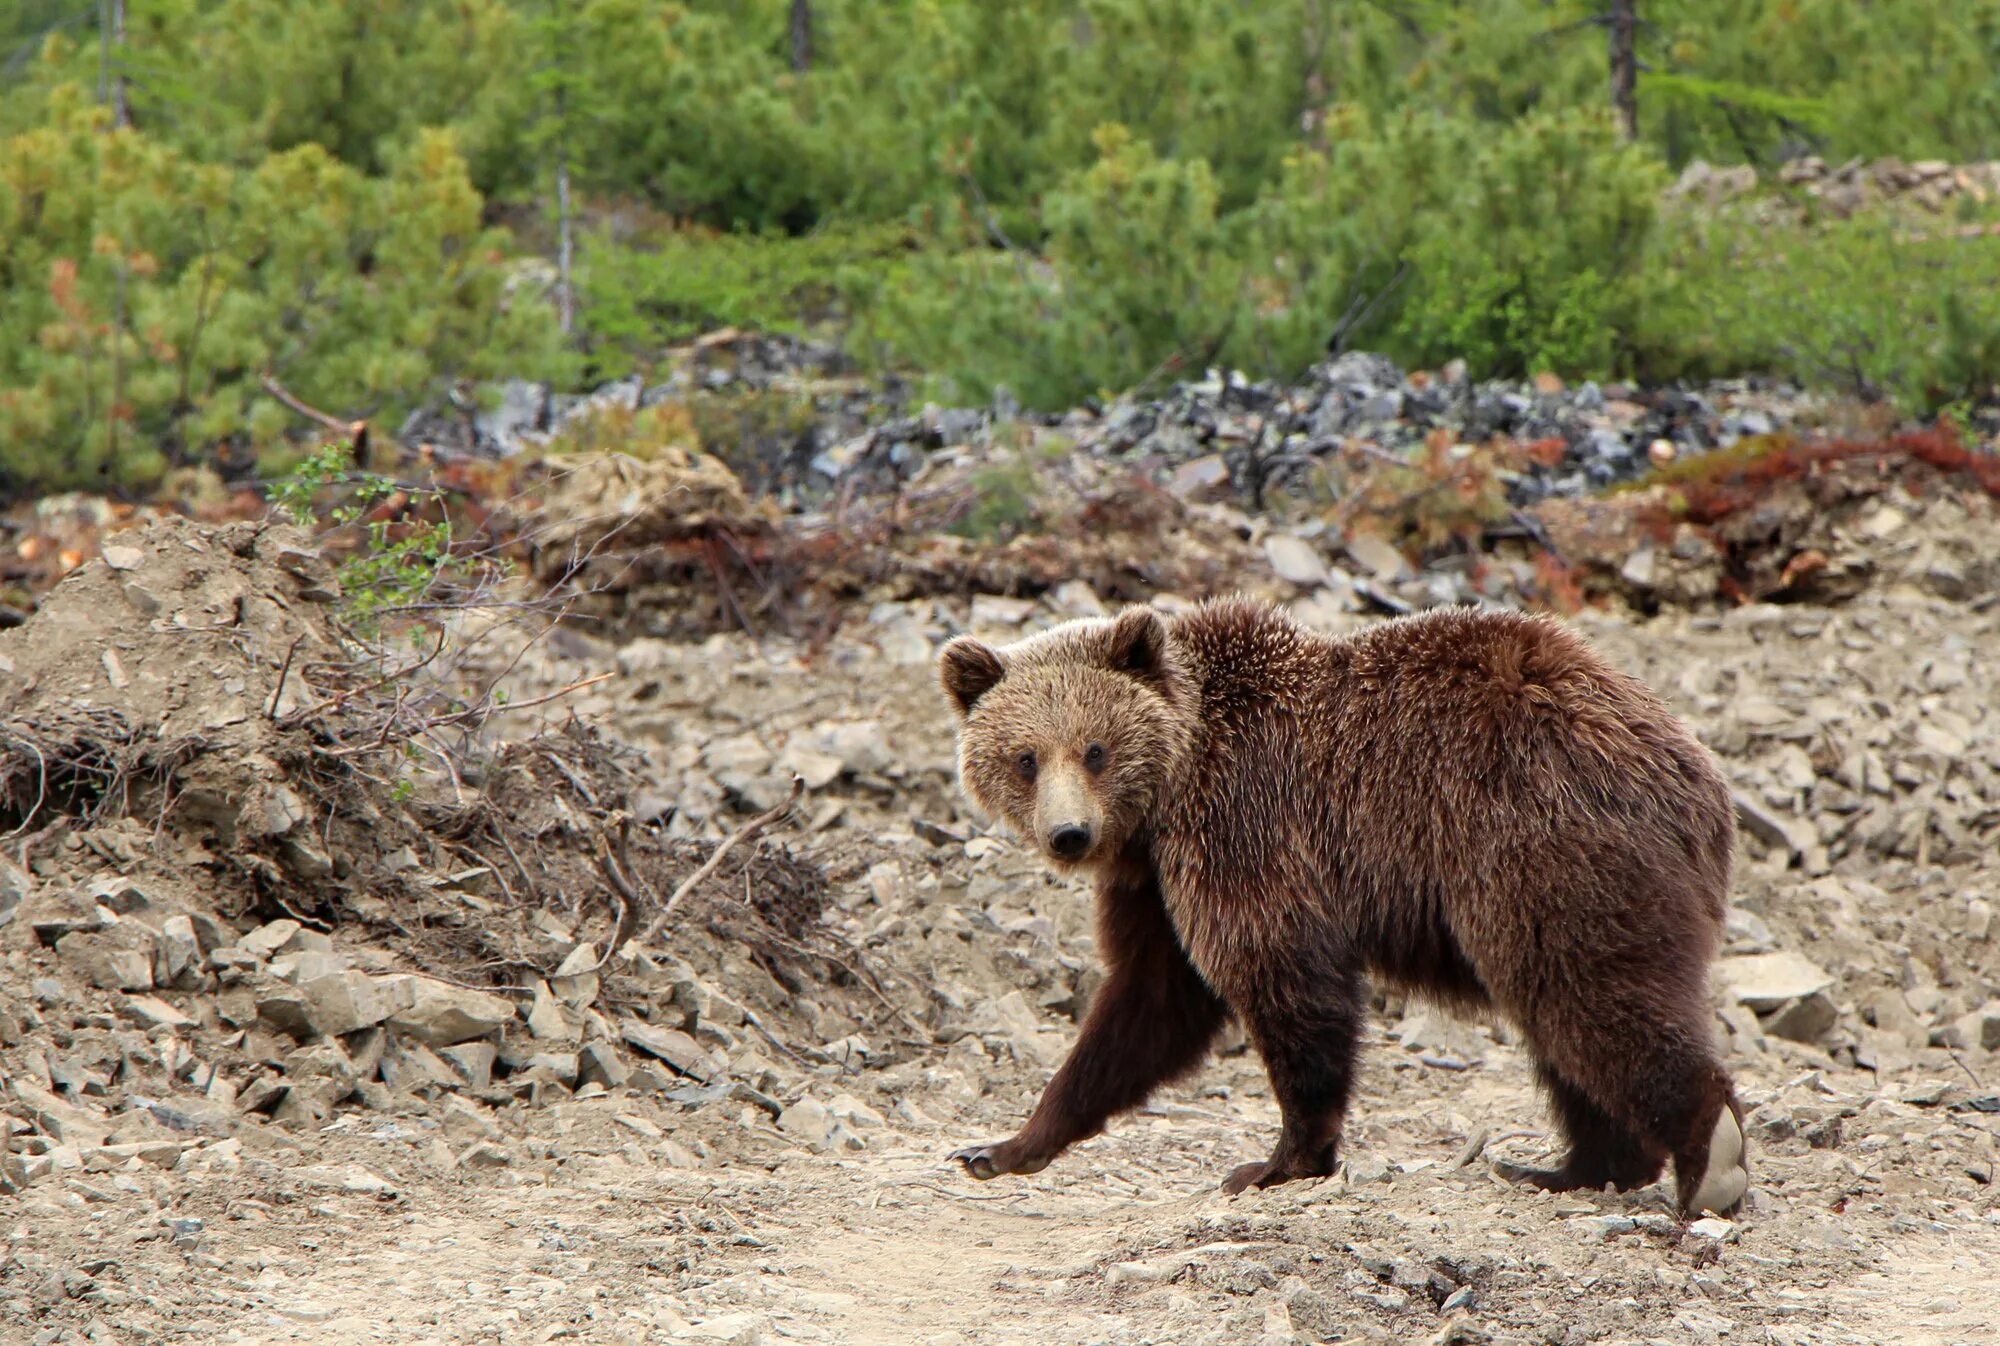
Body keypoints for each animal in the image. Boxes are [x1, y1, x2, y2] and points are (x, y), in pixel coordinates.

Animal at [940, 592, 1752, 1216]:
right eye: (1025, 757)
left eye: (1096, 749)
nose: (1070, 834)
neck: (1168, 796)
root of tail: (1697, 772)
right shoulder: (1152, 886)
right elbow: (1145, 1005)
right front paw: (1003, 1145)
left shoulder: (1247, 824)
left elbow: (1283, 976)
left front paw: (1277, 1161)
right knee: (1565, 1022)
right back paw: (1572, 1167)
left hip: (1540, 840)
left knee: (1592, 989)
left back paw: (1706, 1157)